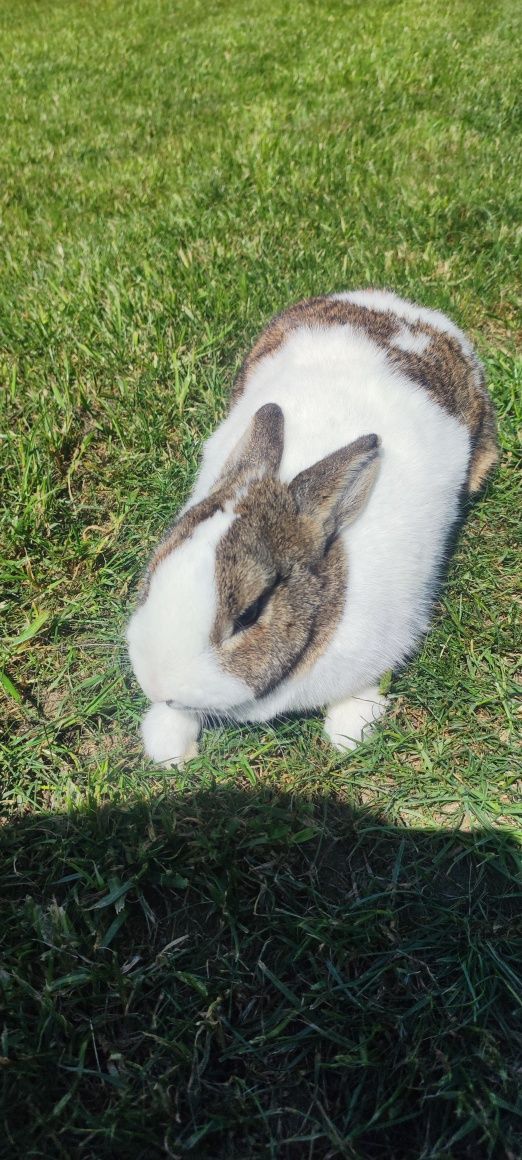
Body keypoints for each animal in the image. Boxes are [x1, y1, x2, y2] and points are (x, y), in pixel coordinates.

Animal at [126, 287, 496, 770]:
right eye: (150, 581)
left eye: (250, 613)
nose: (158, 685)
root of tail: (407, 312)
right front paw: (169, 745)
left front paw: (350, 732)